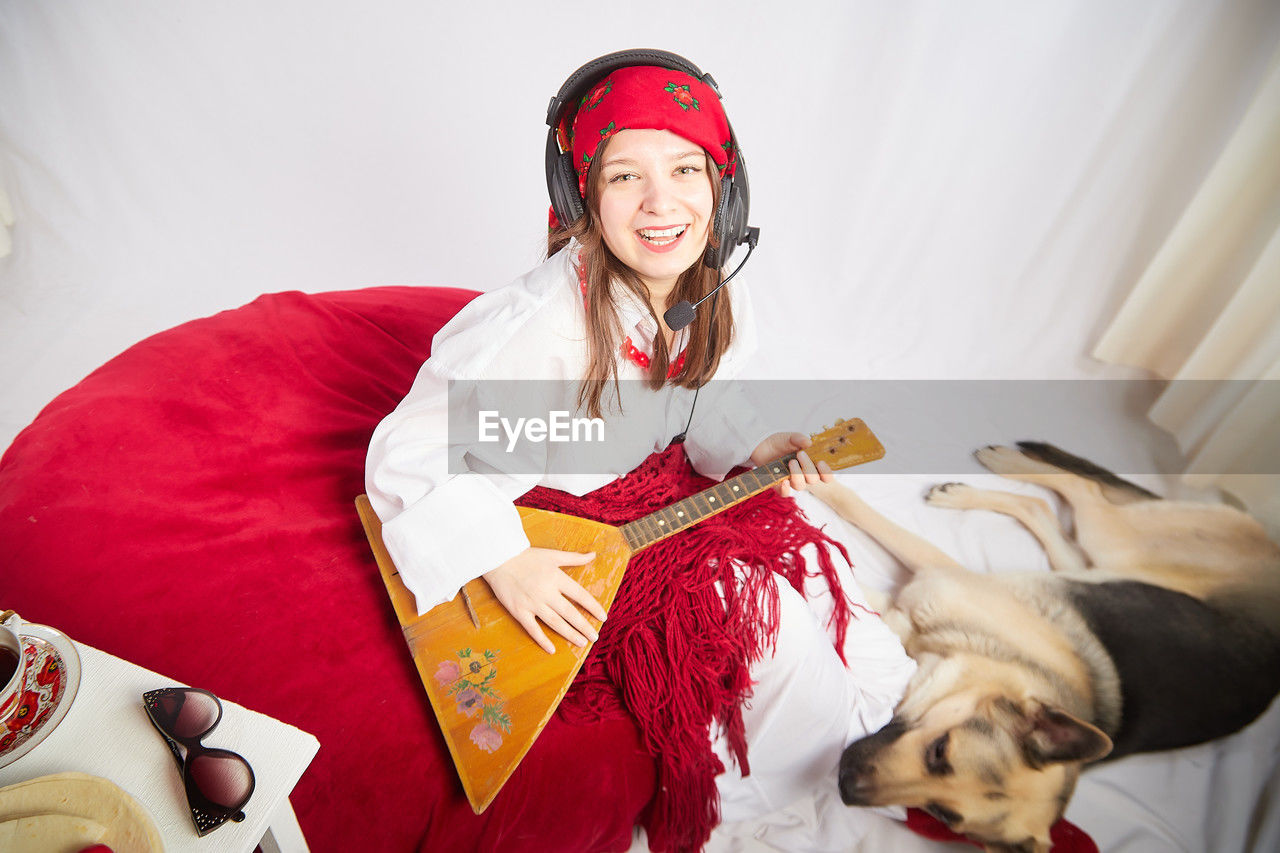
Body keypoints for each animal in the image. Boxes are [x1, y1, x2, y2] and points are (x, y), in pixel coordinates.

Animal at [808, 440, 1280, 845]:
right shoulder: (933, 573)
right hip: (1114, 545)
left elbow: (859, 595)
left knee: (1048, 512)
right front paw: (817, 484)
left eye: (942, 815)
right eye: (941, 751)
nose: (845, 785)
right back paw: (996, 469)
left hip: (1099, 562)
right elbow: (862, 516)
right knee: (1077, 491)